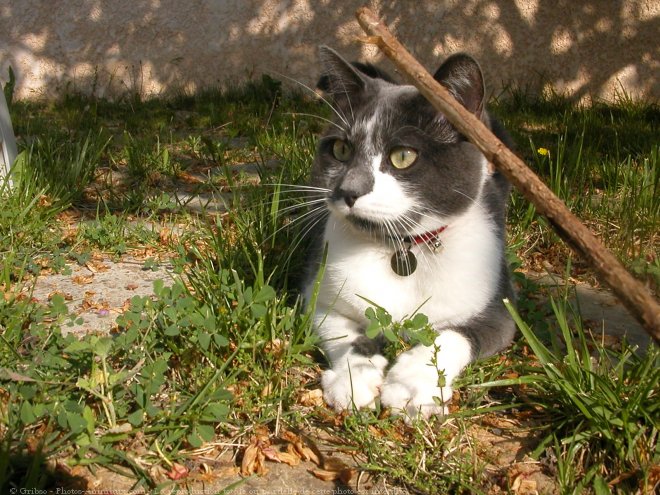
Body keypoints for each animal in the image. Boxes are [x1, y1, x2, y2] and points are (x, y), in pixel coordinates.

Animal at [302, 46, 520, 420]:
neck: (402, 248)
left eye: (403, 156)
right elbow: (338, 329)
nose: (347, 190)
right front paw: (353, 379)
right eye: (340, 149)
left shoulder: (501, 310)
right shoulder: (318, 293)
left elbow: (454, 336)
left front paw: (410, 385)